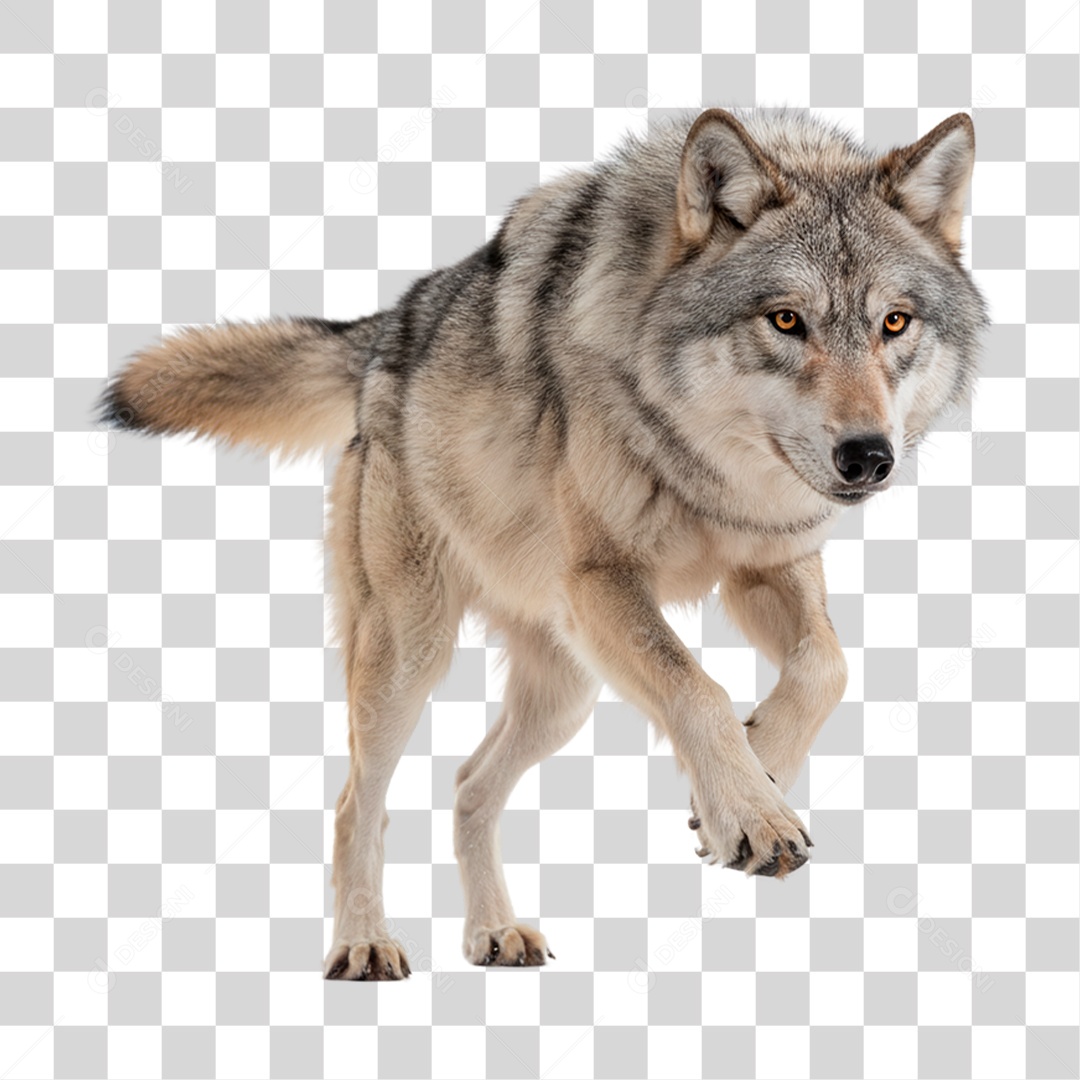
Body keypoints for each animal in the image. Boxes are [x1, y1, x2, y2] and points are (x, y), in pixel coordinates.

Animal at [98, 106, 989, 978]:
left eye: (894, 323)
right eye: (786, 321)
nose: (868, 456)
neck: (704, 460)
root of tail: (389, 330)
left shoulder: (767, 565)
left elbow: (825, 668)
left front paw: (758, 766)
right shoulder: (603, 579)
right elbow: (698, 687)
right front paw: (751, 811)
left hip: (566, 691)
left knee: (467, 785)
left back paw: (495, 933)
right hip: (412, 657)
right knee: (358, 804)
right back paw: (362, 945)